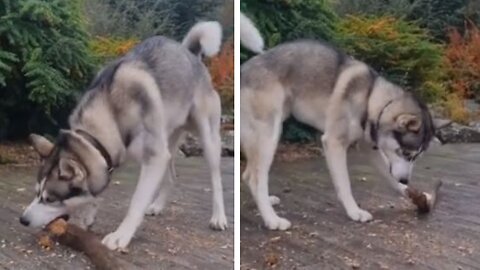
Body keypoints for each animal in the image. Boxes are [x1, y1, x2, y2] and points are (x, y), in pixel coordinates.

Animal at [19, 21, 228, 249]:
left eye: (50, 199)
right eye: (36, 192)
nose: (23, 220)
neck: (111, 114)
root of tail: (191, 54)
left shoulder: (154, 157)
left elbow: (136, 201)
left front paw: (121, 235)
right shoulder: (118, 154)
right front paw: (88, 214)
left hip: (207, 138)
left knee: (216, 178)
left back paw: (219, 217)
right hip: (168, 141)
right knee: (172, 175)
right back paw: (157, 205)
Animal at [240, 13, 446, 229]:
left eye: (416, 157)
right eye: (406, 153)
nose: (406, 180)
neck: (370, 98)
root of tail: (245, 67)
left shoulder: (371, 147)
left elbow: (389, 177)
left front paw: (413, 194)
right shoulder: (334, 143)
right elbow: (345, 184)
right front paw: (354, 211)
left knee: (248, 174)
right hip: (269, 135)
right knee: (255, 178)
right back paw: (272, 220)